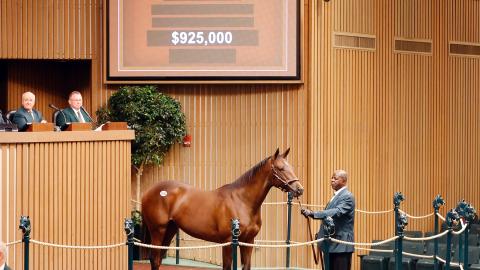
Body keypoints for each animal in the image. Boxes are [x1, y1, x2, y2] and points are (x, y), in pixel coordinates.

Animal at [141, 149, 304, 268]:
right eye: (281, 168)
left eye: (291, 167)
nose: (299, 189)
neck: (242, 201)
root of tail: (148, 192)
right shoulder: (228, 242)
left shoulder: (248, 241)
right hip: (157, 231)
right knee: (154, 259)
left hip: (170, 230)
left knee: (158, 259)